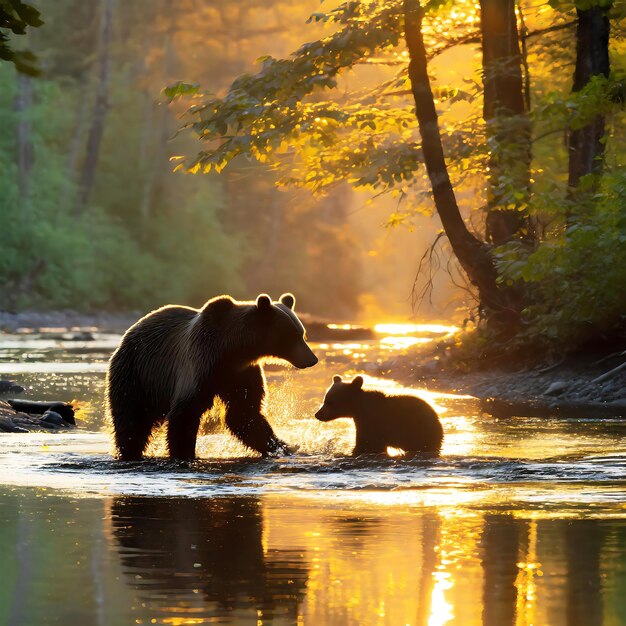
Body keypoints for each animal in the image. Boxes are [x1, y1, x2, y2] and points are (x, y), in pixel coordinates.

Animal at [105, 292, 316, 458]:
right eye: (292, 336)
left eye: (303, 334)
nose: (312, 359)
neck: (232, 349)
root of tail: (129, 332)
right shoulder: (201, 363)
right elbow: (186, 411)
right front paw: (184, 453)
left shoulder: (240, 373)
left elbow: (244, 413)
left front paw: (283, 446)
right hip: (137, 374)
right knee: (131, 419)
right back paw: (129, 451)